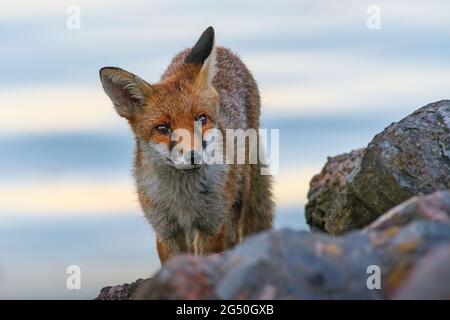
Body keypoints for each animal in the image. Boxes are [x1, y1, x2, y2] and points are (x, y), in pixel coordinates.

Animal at [100, 26, 272, 262]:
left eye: (201, 118)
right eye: (163, 128)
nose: (194, 155)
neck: (184, 202)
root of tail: (226, 50)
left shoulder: (212, 226)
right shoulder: (166, 232)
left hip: (236, 204)